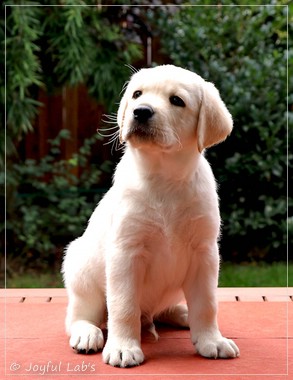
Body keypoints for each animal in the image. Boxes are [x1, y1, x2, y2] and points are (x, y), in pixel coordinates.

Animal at [62, 65, 238, 368]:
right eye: (137, 94)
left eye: (177, 100)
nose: (141, 111)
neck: (164, 177)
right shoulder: (125, 252)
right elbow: (123, 306)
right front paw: (123, 347)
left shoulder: (204, 253)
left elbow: (206, 304)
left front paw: (211, 340)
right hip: (81, 272)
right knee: (79, 316)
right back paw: (87, 333)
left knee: (163, 310)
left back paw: (182, 313)